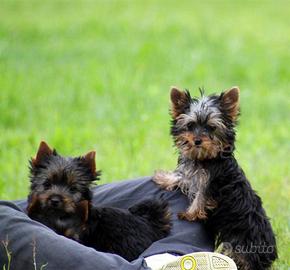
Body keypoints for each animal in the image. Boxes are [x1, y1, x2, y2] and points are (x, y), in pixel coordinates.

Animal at [153, 87, 278, 268]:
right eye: (190, 125)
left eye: (211, 127)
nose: (197, 140)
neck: (205, 158)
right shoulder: (194, 174)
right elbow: (183, 177)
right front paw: (165, 178)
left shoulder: (210, 183)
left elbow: (200, 197)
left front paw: (190, 214)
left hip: (242, 246)